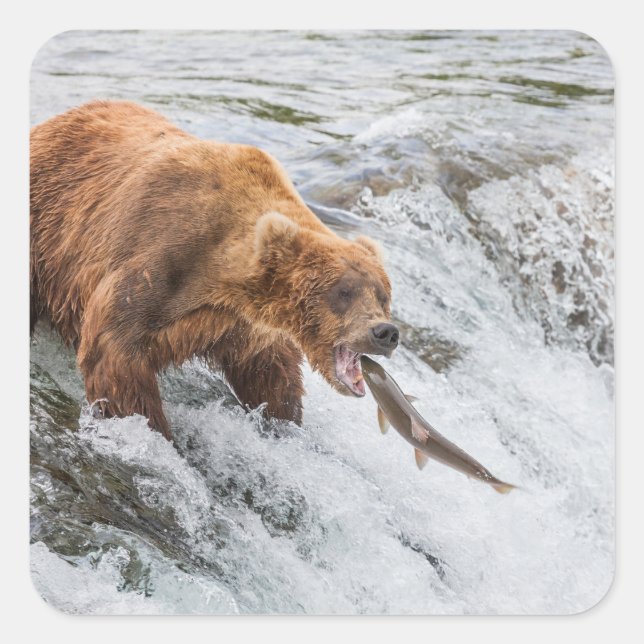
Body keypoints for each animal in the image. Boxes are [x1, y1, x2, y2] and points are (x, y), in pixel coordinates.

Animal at [30, 100, 399, 440]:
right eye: (343, 292)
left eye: (383, 295)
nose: (385, 332)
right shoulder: (158, 260)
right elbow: (113, 352)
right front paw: (155, 430)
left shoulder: (242, 325)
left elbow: (271, 373)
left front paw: (283, 420)